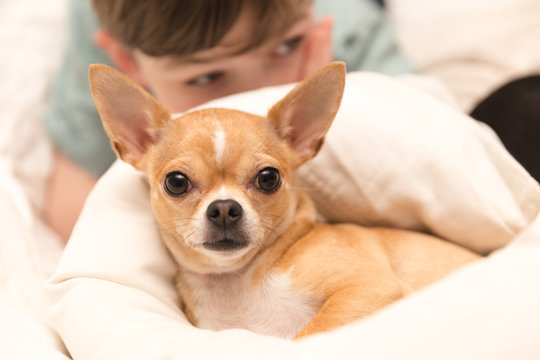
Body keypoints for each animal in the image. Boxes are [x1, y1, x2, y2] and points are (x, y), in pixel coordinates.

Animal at [89, 62, 480, 340]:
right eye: (176, 183)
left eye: (268, 178)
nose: (224, 208)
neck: (237, 282)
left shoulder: (369, 289)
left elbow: (307, 336)